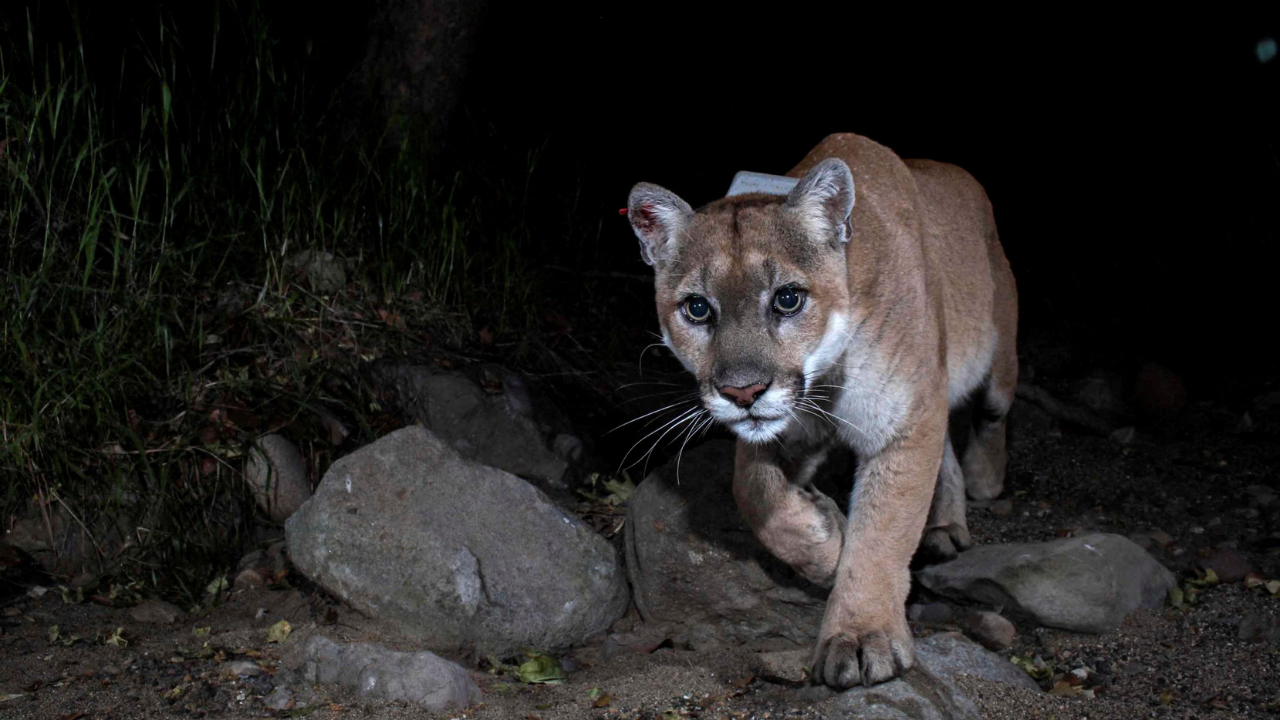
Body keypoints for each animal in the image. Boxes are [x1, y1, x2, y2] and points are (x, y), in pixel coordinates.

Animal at [624, 131, 1013, 686]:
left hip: (997, 352)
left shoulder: (905, 421)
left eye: (787, 299)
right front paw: (824, 544)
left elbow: (882, 532)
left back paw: (983, 479)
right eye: (697, 308)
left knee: (991, 414)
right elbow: (753, 492)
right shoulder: (788, 429)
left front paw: (861, 634)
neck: (826, 377)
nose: (743, 392)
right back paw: (943, 527)